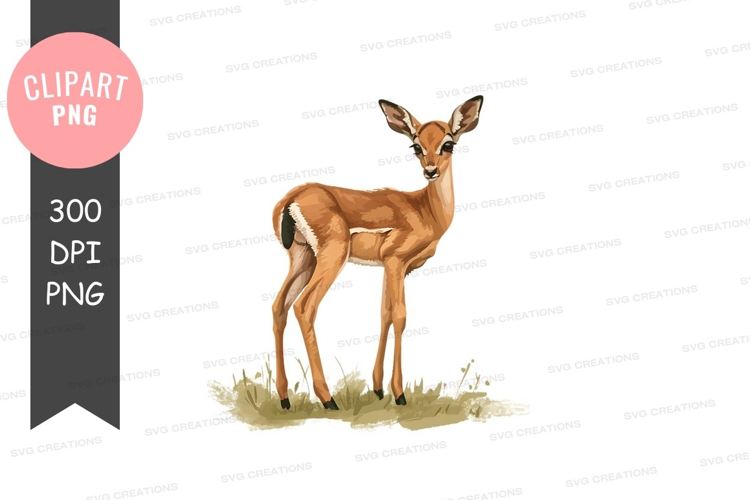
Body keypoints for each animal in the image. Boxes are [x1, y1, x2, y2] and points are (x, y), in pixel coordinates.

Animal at [270, 95, 483, 410]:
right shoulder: (396, 261)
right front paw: (400, 394)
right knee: (304, 307)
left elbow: (384, 315)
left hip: (303, 259)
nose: (430, 171)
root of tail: (291, 200)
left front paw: (379, 389)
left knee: (279, 306)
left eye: (448, 144)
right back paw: (328, 399)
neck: (425, 209)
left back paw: (284, 398)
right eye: (416, 146)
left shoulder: (389, 267)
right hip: (332, 258)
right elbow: (401, 317)